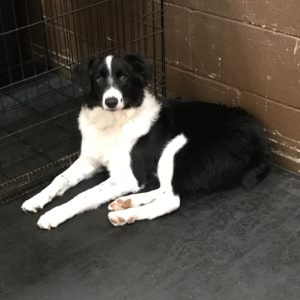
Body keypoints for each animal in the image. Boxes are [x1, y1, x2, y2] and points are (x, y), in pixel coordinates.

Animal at [20, 54, 270, 229]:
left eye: (123, 77)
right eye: (99, 78)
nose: (111, 101)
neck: (113, 121)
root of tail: (261, 141)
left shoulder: (128, 176)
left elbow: (85, 194)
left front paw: (54, 214)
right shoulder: (89, 159)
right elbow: (59, 178)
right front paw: (37, 199)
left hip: (175, 148)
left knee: (171, 200)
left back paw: (125, 214)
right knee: (164, 189)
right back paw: (126, 202)